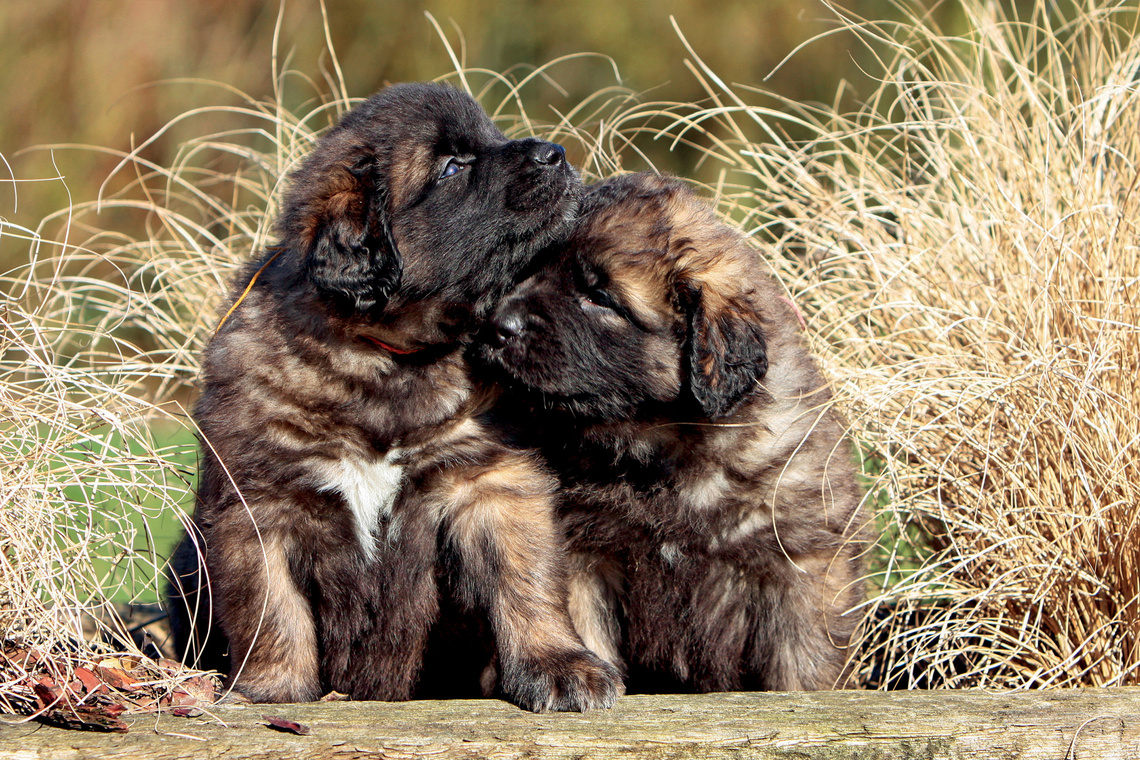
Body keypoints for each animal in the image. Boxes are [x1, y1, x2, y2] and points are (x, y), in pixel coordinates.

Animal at [165, 83, 620, 715]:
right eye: (453, 166)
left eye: (494, 137)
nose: (555, 153)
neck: (388, 362)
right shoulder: (260, 504)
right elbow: (269, 607)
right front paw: (273, 689)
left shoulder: (491, 480)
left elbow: (526, 582)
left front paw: (560, 666)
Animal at [478, 174, 861, 697]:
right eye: (532, 268)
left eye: (600, 297)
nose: (496, 325)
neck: (664, 455)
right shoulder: (584, 557)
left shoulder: (801, 570)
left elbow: (802, 669)